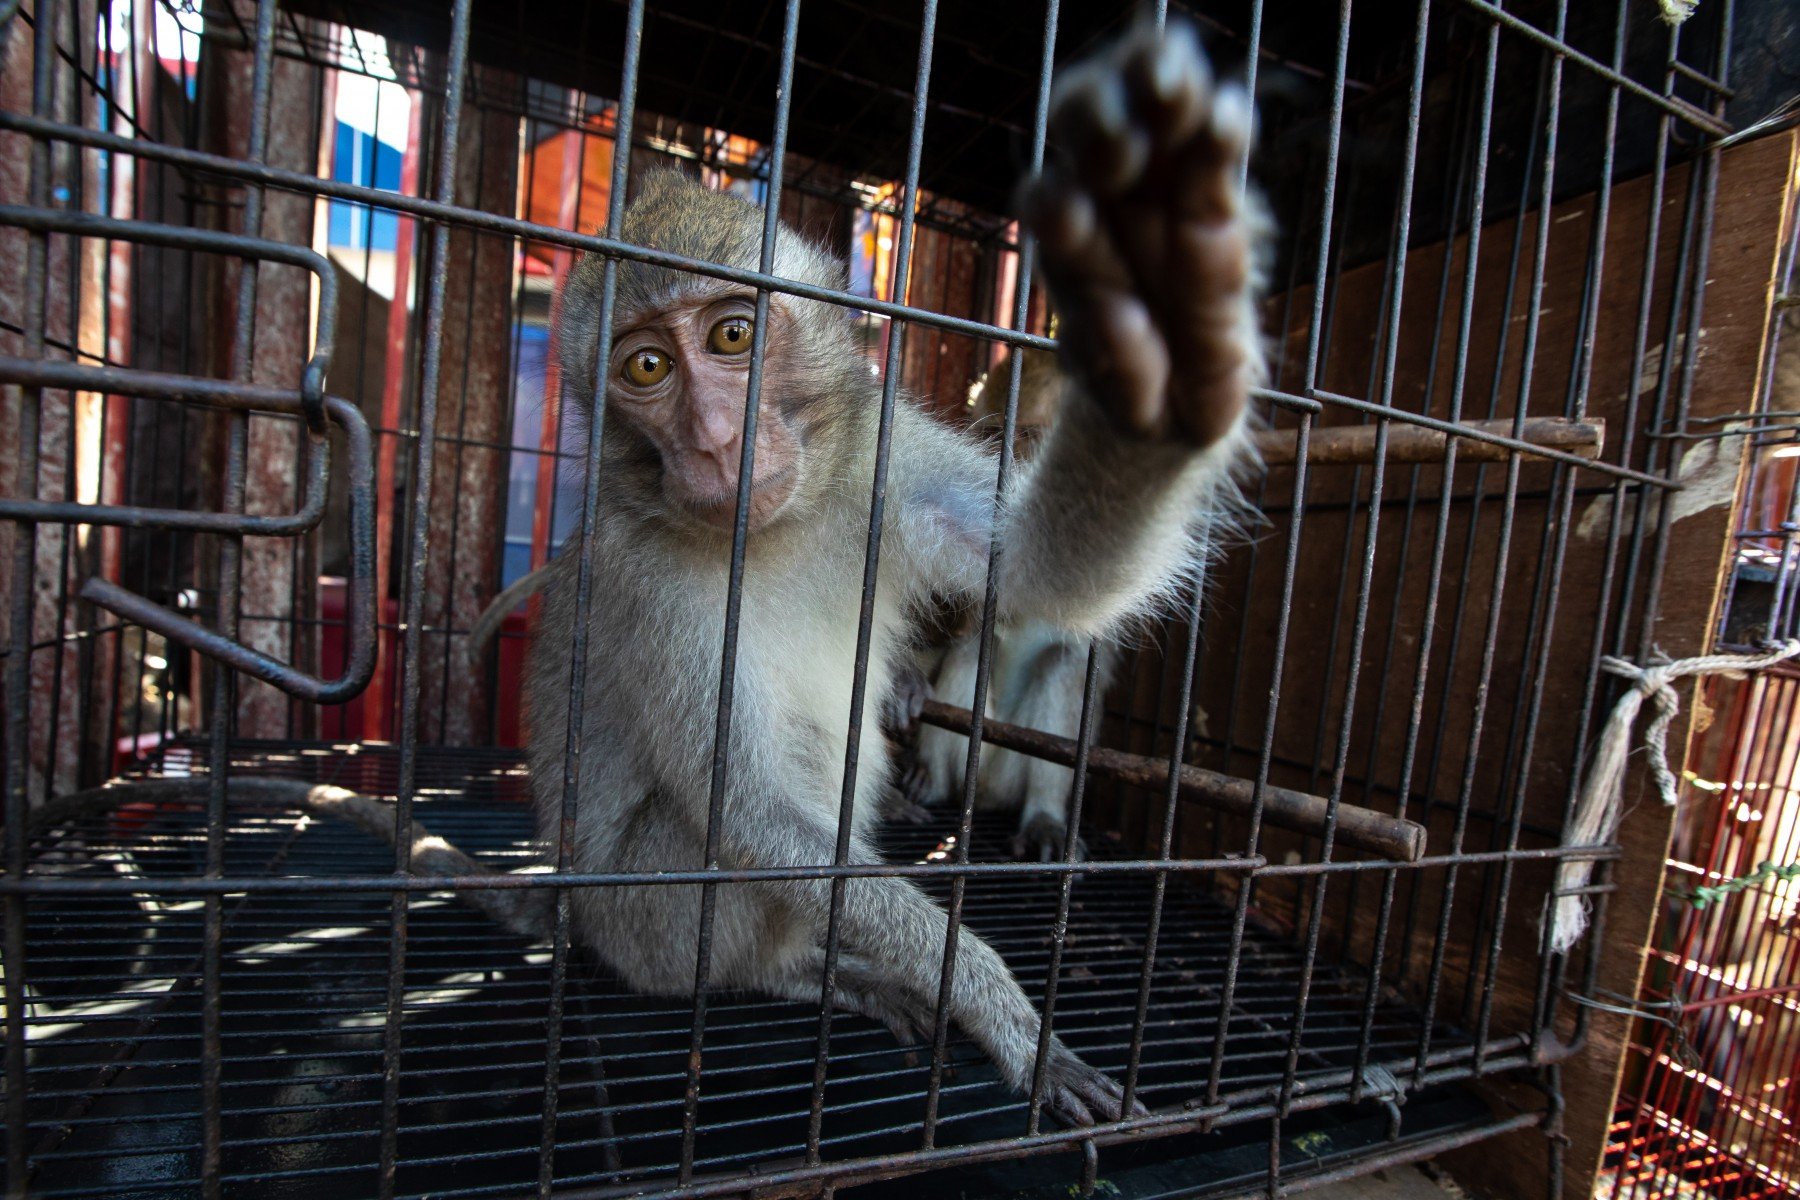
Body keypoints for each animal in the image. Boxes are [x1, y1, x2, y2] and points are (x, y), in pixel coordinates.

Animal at [45, 25, 1267, 1137]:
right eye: (646, 366)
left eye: (732, 336)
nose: (716, 443)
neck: (773, 531)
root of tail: (582, 919)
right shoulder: (653, 590)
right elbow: (748, 816)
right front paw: (993, 1002)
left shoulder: (882, 469)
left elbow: (1050, 574)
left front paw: (1174, 300)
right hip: (643, 922)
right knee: (735, 853)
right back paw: (808, 974)